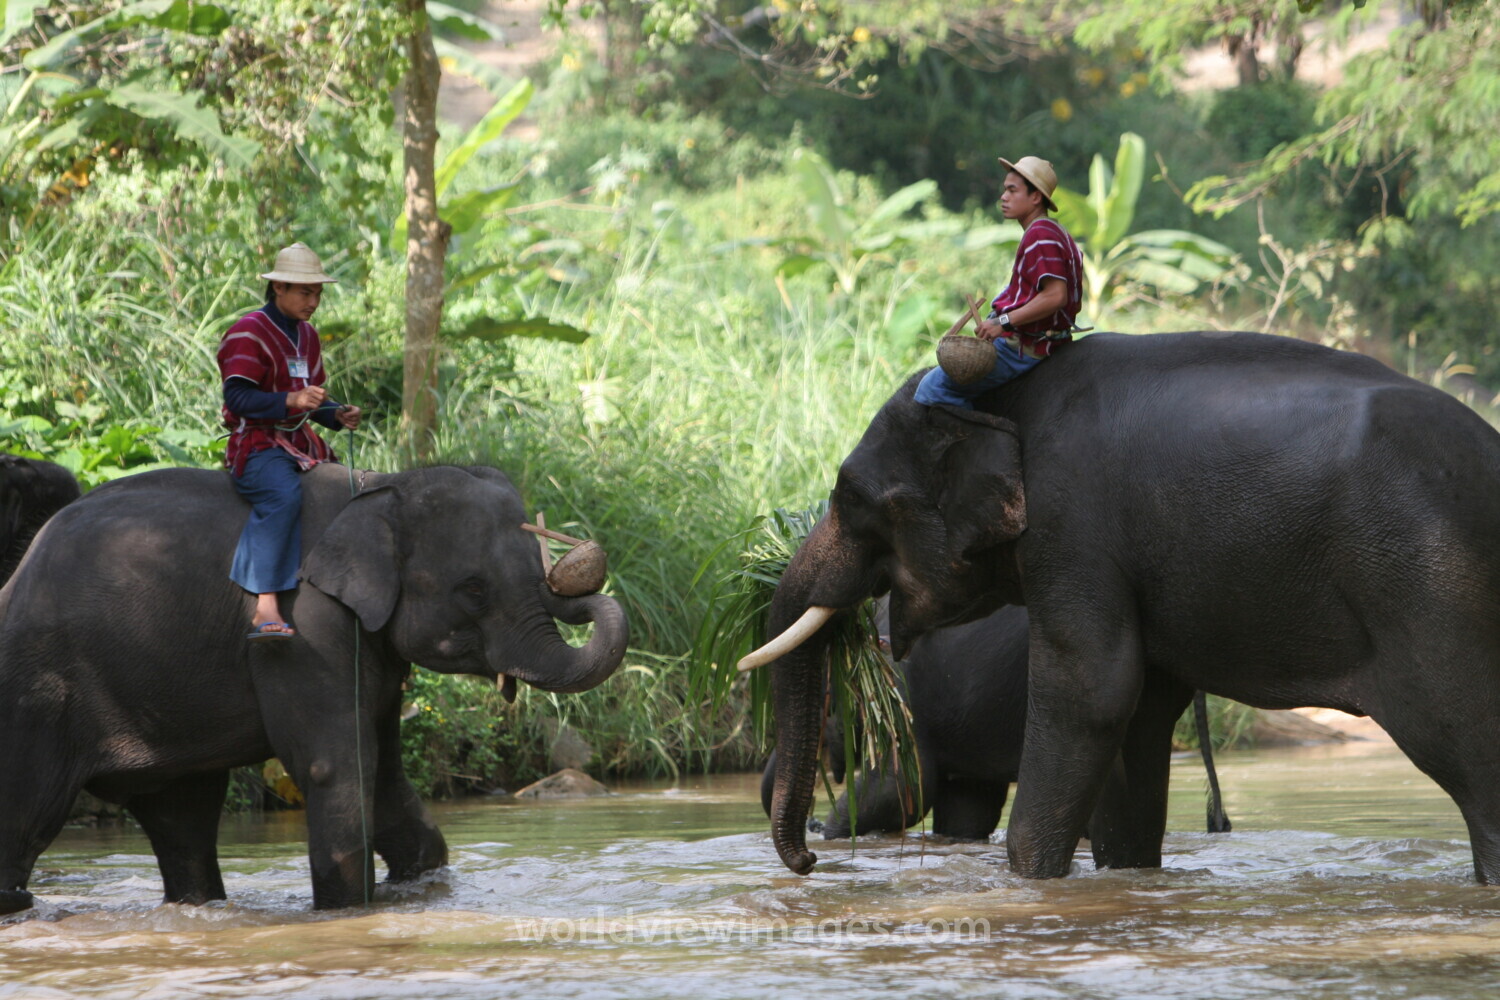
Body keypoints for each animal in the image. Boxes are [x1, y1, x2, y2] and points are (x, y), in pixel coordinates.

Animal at [760, 603, 1230, 840]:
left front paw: (829, 833)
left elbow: (903, 787)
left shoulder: (904, 687)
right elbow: (968, 809)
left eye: (824, 700)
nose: (810, 820)